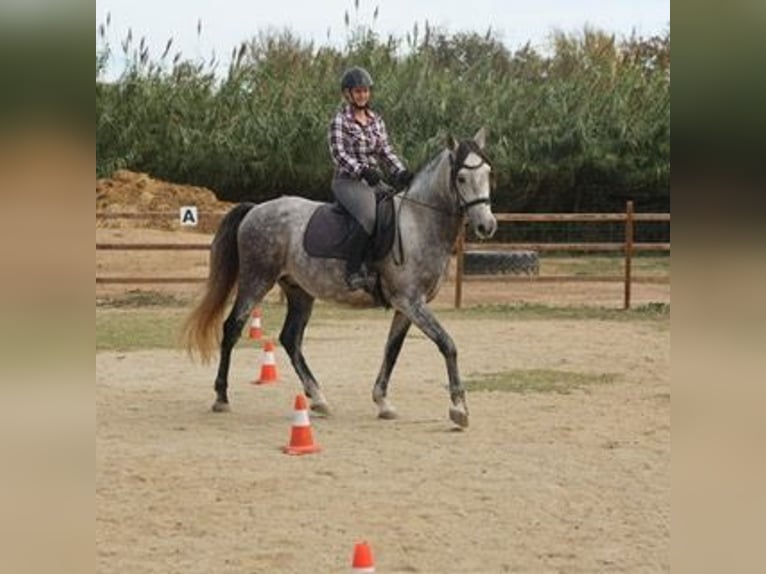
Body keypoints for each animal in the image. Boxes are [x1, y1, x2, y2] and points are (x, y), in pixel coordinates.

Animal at [182, 128, 497, 428]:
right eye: (461, 178)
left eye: (488, 173)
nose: (487, 226)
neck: (418, 224)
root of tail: (256, 209)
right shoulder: (410, 302)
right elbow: (447, 344)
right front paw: (459, 409)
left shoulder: (408, 307)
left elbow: (392, 350)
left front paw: (383, 402)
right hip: (256, 280)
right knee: (232, 328)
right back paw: (221, 397)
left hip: (299, 290)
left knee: (290, 339)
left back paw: (318, 398)